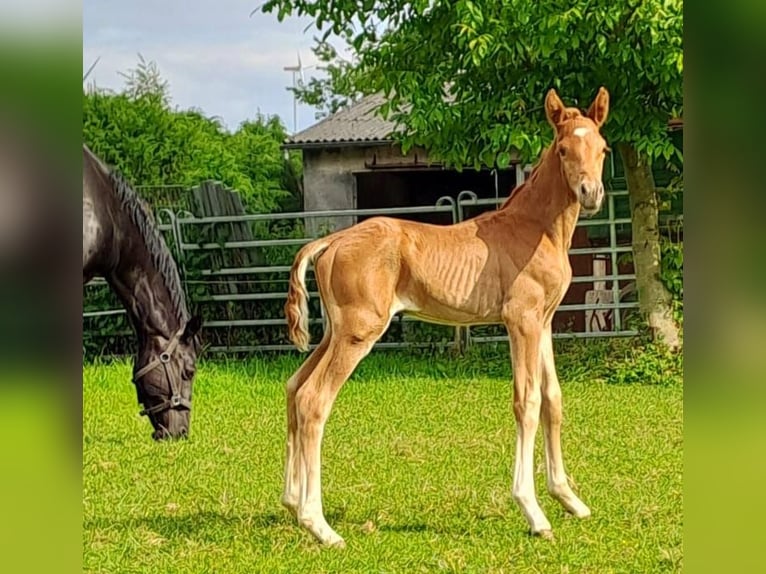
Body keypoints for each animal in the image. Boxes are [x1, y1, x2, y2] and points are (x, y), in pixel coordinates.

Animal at [282, 88, 612, 548]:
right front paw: (533, 511)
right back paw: (320, 525)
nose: (590, 192)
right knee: (314, 400)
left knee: (294, 388)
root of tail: (332, 241)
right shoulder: (521, 321)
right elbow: (526, 402)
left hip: (334, 332)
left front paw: (570, 500)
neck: (535, 228)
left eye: (603, 148)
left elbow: (552, 399)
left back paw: (293, 504)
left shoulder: (544, 322)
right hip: (358, 332)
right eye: (563, 148)